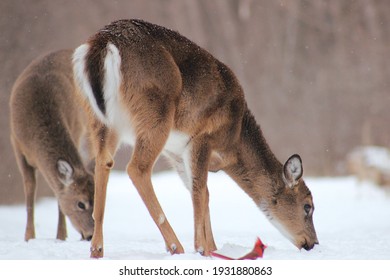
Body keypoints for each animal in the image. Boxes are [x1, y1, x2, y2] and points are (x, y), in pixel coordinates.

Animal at [9, 49, 95, 242]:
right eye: (80, 203)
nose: (90, 235)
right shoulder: (17, 144)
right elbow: (30, 189)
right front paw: (29, 237)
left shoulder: (75, 129)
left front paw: (61, 237)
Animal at [72, 18, 316, 258]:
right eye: (308, 206)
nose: (312, 243)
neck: (235, 140)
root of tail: (103, 41)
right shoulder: (203, 138)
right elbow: (200, 191)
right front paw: (202, 249)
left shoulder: (177, 153)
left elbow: (201, 192)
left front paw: (213, 247)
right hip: (155, 113)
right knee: (137, 168)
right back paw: (175, 246)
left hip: (100, 119)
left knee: (103, 162)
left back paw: (97, 248)